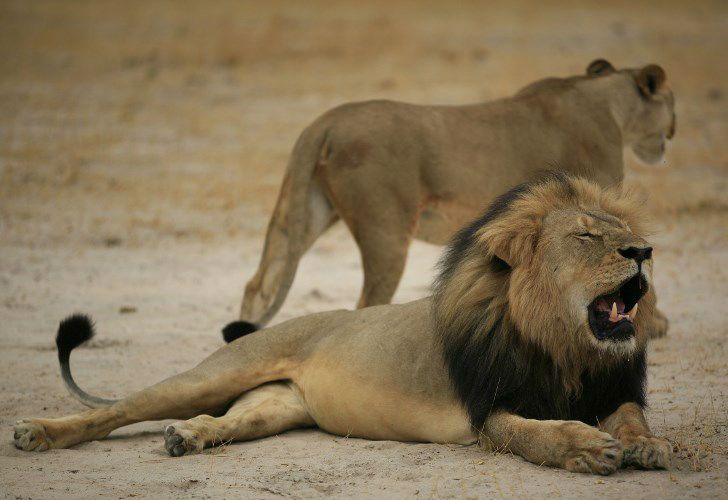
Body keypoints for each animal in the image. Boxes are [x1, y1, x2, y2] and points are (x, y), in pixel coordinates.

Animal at [14, 174, 671, 475]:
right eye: (586, 237)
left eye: (622, 231)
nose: (643, 251)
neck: (565, 348)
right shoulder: (488, 410)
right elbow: (534, 434)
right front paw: (586, 447)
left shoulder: (611, 386)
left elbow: (631, 416)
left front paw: (646, 445)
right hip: (215, 373)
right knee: (117, 410)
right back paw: (38, 433)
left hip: (275, 406)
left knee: (226, 420)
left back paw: (189, 438)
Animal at [230, 58, 675, 339]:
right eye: (671, 103)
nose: (672, 131)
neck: (608, 102)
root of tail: (325, 121)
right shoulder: (594, 201)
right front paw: (653, 324)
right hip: (385, 231)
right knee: (365, 303)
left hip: (305, 212)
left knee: (259, 283)